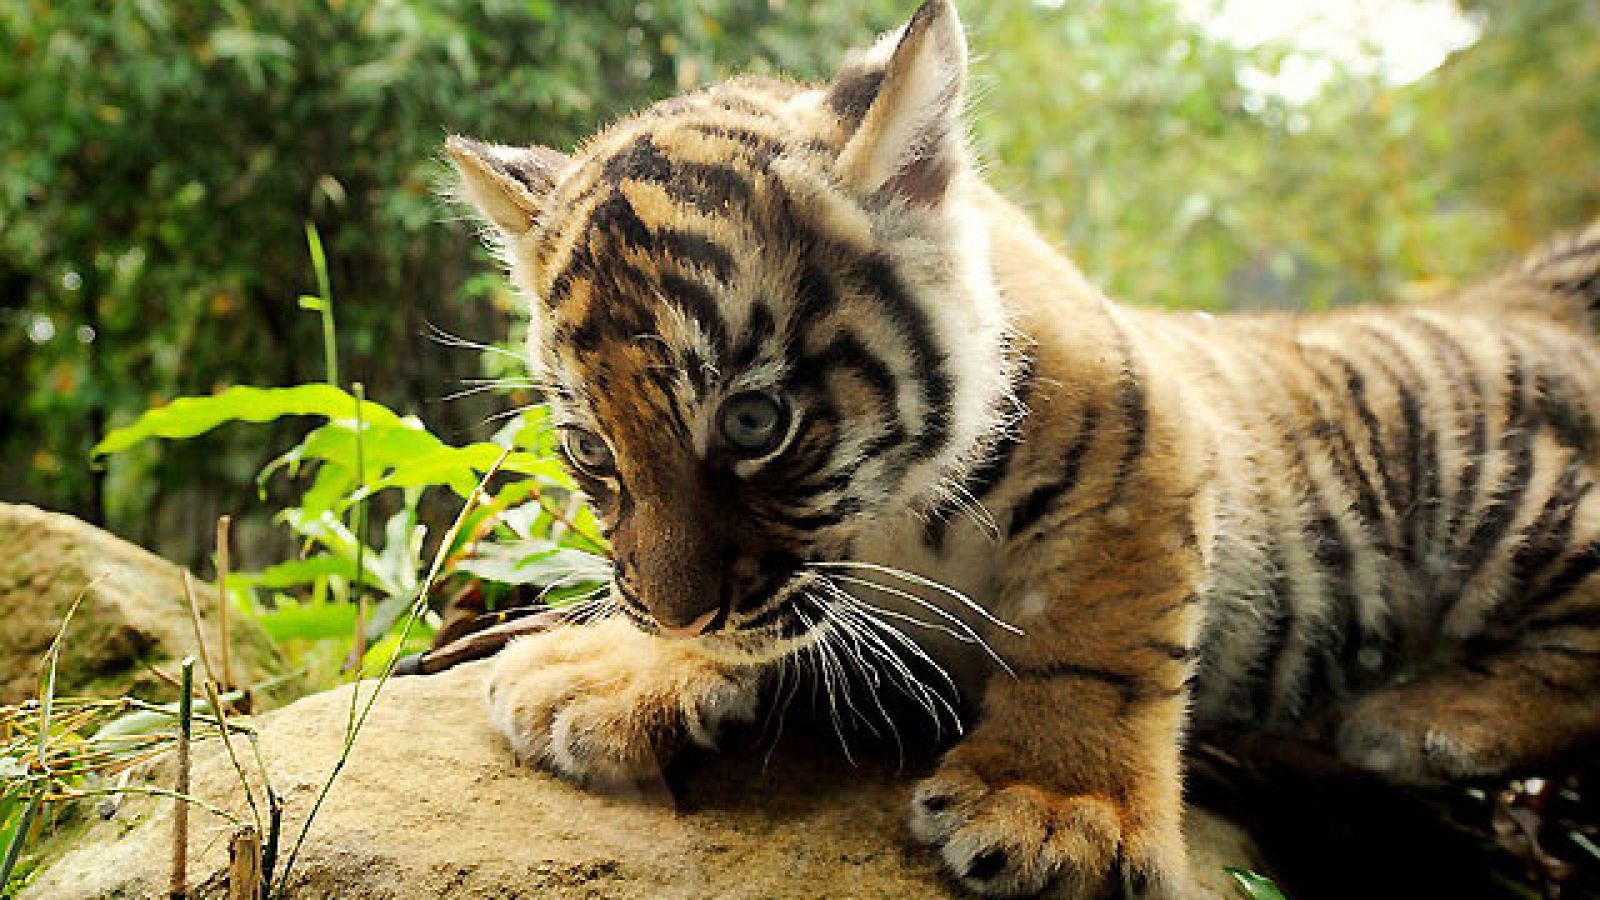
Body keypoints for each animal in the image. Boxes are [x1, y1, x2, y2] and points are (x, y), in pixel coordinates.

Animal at [443, 1, 1600, 895]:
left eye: (754, 421)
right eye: (590, 449)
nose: (678, 613)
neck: (888, 525)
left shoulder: (1145, 448)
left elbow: (1092, 631)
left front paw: (1053, 810)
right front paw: (614, 667)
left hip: (1503, 489)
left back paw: (1420, 718)